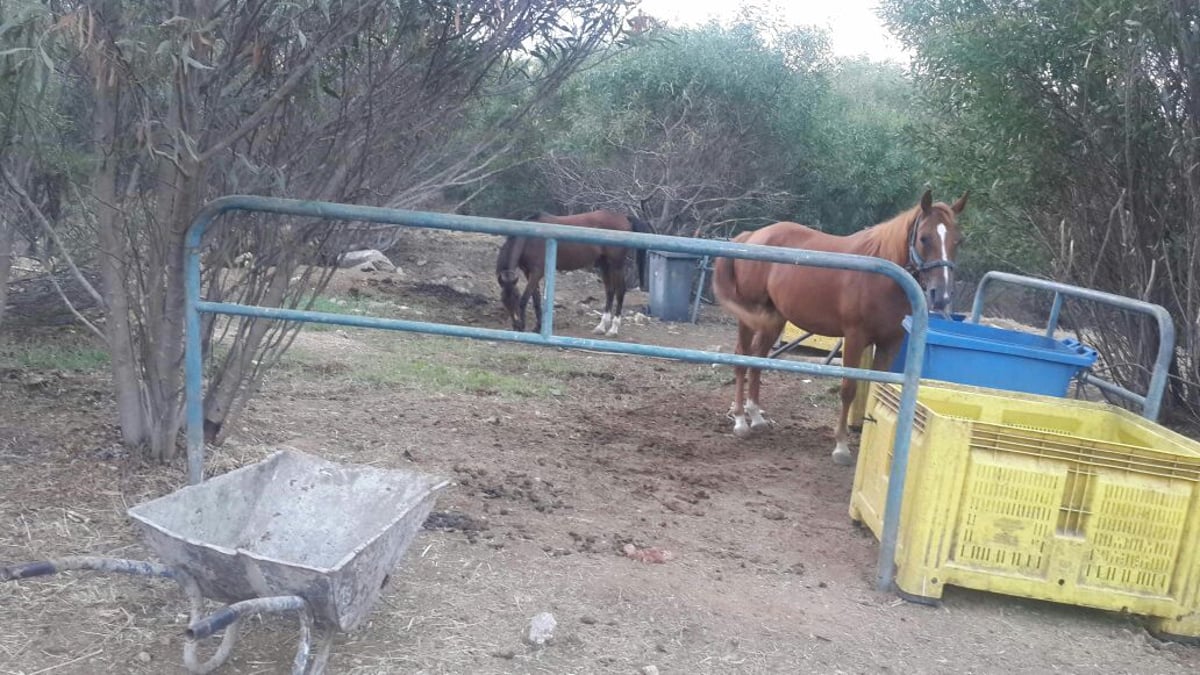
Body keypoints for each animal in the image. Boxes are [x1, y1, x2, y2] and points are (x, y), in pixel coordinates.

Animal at [492, 210, 652, 333]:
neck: (529, 239)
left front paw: (525, 326)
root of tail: (624, 217)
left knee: (620, 291)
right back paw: (601, 327)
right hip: (604, 264)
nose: (516, 325)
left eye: (516, 297)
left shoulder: (537, 272)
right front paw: (537, 327)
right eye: (504, 300)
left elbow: (526, 299)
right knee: (610, 291)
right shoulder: (528, 272)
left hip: (616, 265)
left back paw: (613, 329)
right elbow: (536, 299)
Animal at [710, 187, 964, 461]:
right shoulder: (854, 337)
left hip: (773, 318)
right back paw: (740, 422)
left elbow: (876, 391)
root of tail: (751, 236)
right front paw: (841, 446)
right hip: (749, 317)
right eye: (924, 238)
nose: (942, 295)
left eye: (957, 241)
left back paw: (756, 417)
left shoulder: (890, 343)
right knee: (742, 357)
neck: (882, 277)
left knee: (758, 358)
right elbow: (849, 389)